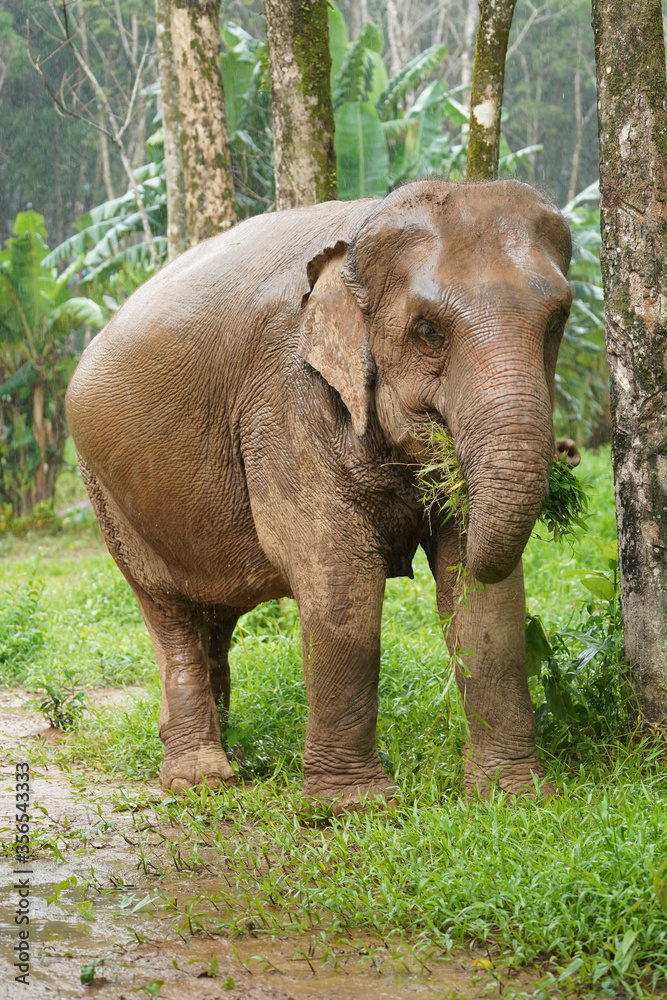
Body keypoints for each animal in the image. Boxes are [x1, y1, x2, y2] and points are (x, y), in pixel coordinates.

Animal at [66, 178, 574, 808]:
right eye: (428, 331)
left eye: (557, 322)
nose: (569, 456)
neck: (364, 230)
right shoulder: (284, 400)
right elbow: (337, 576)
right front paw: (356, 807)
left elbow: (482, 592)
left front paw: (514, 797)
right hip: (107, 497)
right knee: (169, 611)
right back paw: (201, 781)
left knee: (214, 617)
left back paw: (231, 757)